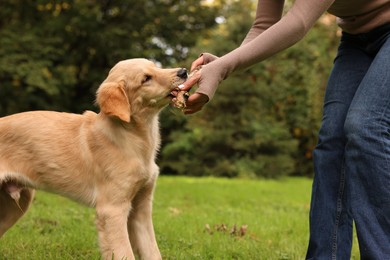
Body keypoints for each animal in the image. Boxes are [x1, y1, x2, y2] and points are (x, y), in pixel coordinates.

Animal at [0, 59, 189, 260]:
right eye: (146, 78)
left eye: (155, 66)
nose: (184, 71)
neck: (132, 137)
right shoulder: (112, 209)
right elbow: (124, 252)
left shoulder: (141, 208)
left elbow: (152, 251)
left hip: (15, 204)